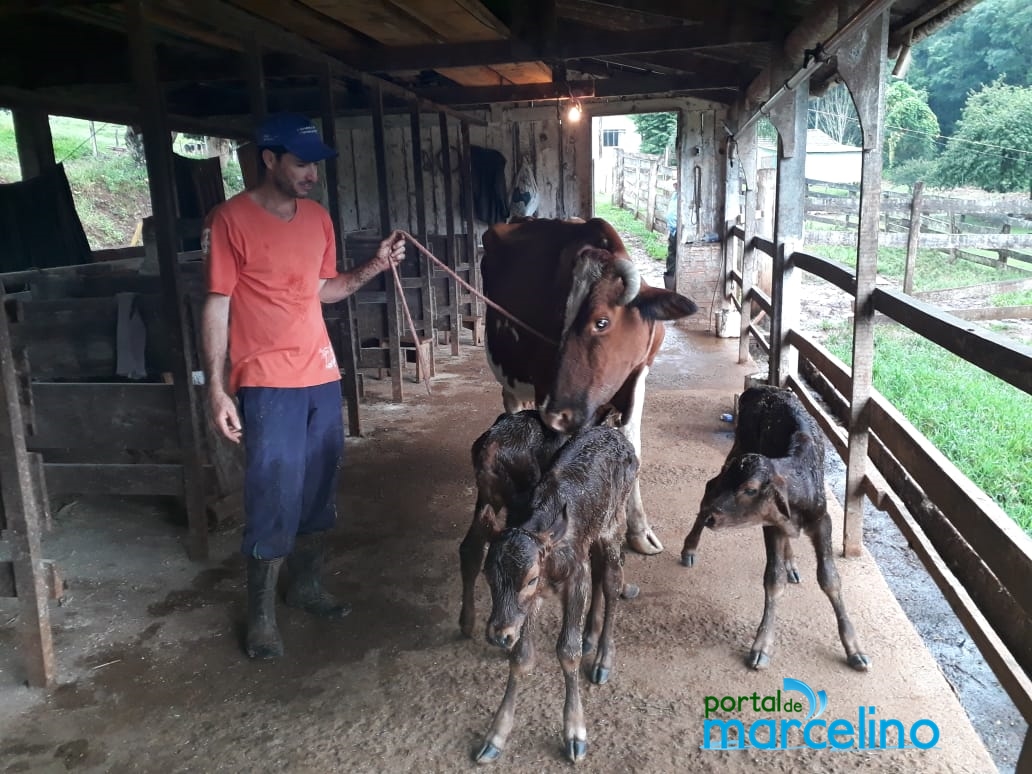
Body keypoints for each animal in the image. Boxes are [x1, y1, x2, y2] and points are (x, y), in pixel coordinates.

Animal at [474, 427, 635, 767]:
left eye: (531, 578)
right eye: (488, 575)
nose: (498, 634)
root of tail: (615, 433)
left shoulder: (573, 579)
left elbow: (567, 652)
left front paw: (575, 732)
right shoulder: (532, 602)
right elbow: (521, 656)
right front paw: (496, 736)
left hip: (614, 524)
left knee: (612, 581)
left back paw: (603, 658)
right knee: (598, 572)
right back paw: (590, 637)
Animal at [478, 216, 697, 557]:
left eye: (601, 322)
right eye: (558, 320)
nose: (556, 415)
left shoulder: (638, 377)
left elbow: (633, 448)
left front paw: (639, 530)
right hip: (510, 376)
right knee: (512, 404)